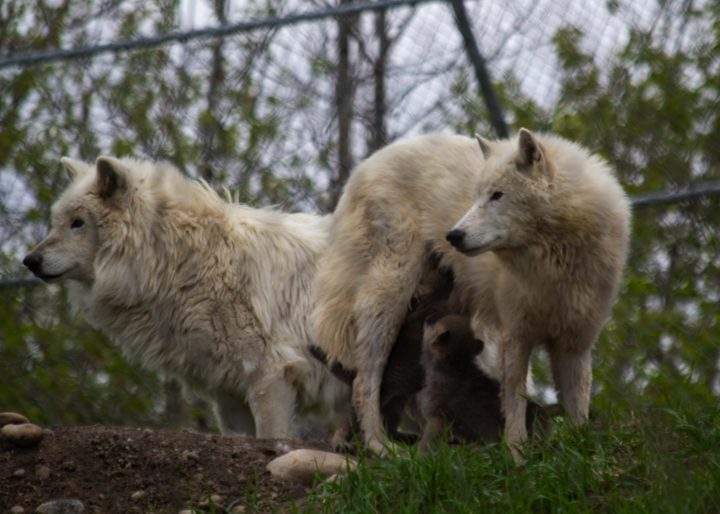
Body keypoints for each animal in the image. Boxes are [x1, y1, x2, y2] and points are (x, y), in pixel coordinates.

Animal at [23, 156, 349, 439]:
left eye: (77, 222)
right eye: (56, 222)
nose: (30, 260)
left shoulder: (271, 373)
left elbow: (273, 438)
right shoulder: (227, 390)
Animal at [311, 130, 630, 456]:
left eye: (497, 195)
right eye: (477, 195)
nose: (453, 236)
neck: (553, 264)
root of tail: (364, 166)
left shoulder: (576, 342)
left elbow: (578, 405)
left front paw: (583, 449)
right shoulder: (515, 334)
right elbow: (515, 400)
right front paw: (516, 453)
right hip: (390, 297)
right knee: (364, 381)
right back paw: (380, 446)